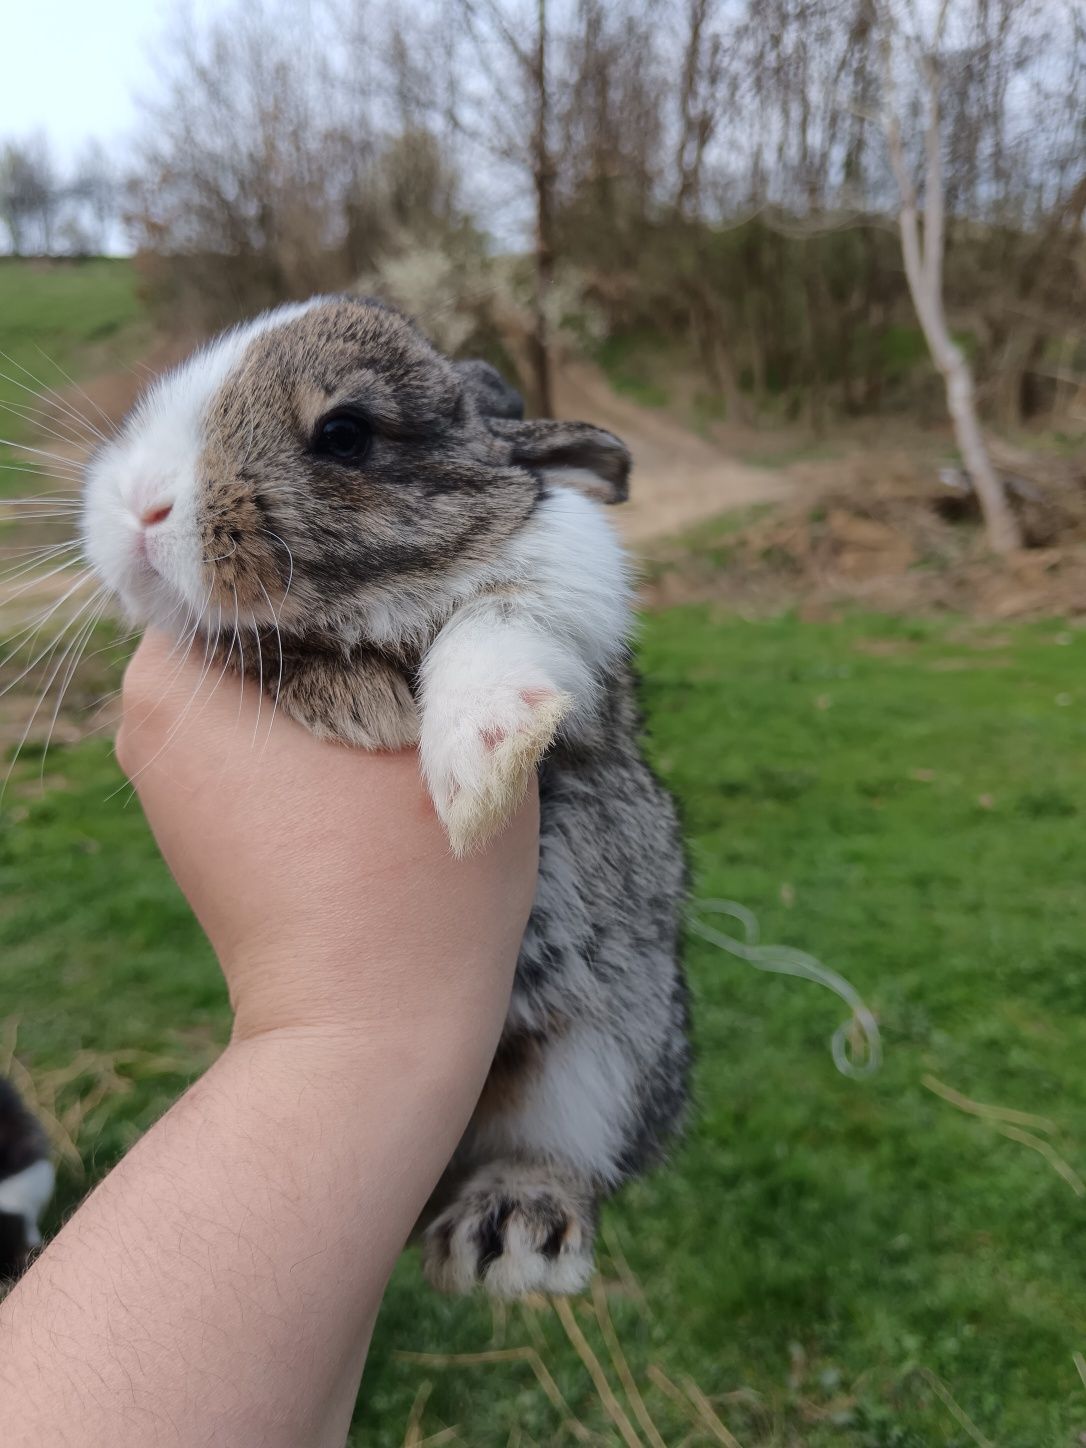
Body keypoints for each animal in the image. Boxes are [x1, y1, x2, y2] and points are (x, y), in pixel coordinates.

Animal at [85, 296, 689, 1303]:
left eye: (345, 433)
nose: (141, 506)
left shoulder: (560, 588)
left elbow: (495, 628)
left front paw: (478, 770)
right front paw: (358, 702)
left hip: (607, 1052)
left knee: (562, 1154)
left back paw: (509, 1236)